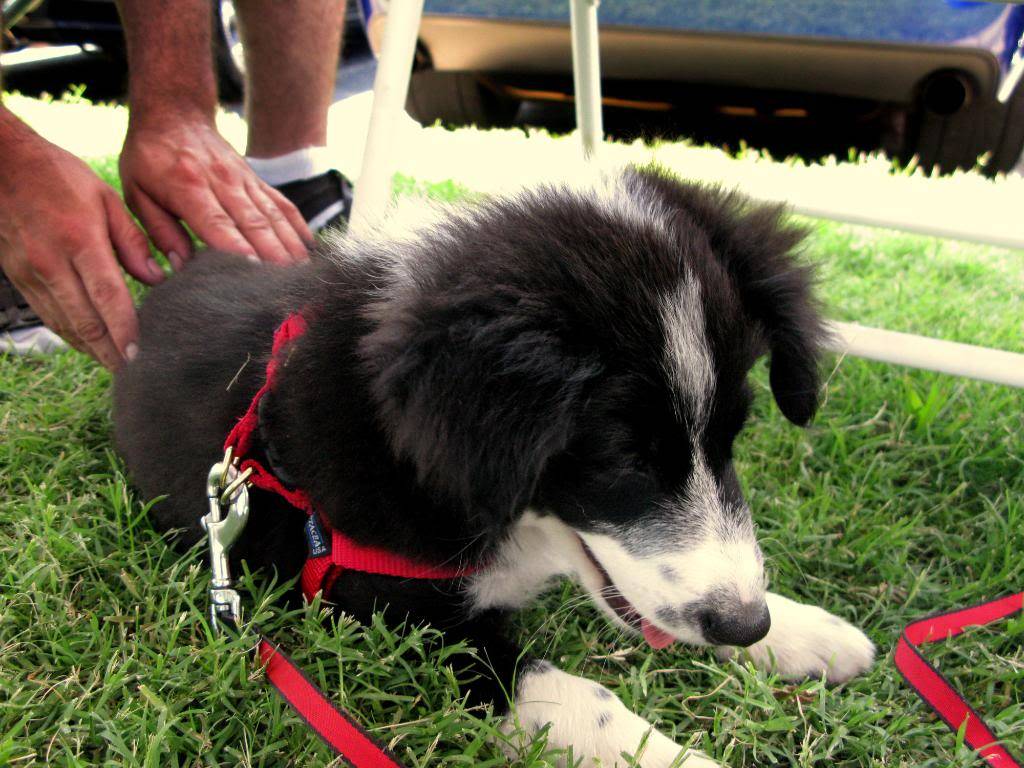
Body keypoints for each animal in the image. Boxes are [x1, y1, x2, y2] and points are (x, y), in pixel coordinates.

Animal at [117, 167, 872, 768]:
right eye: (624, 457)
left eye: (730, 438)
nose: (745, 625)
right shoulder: (387, 610)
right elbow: (577, 696)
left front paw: (807, 633)